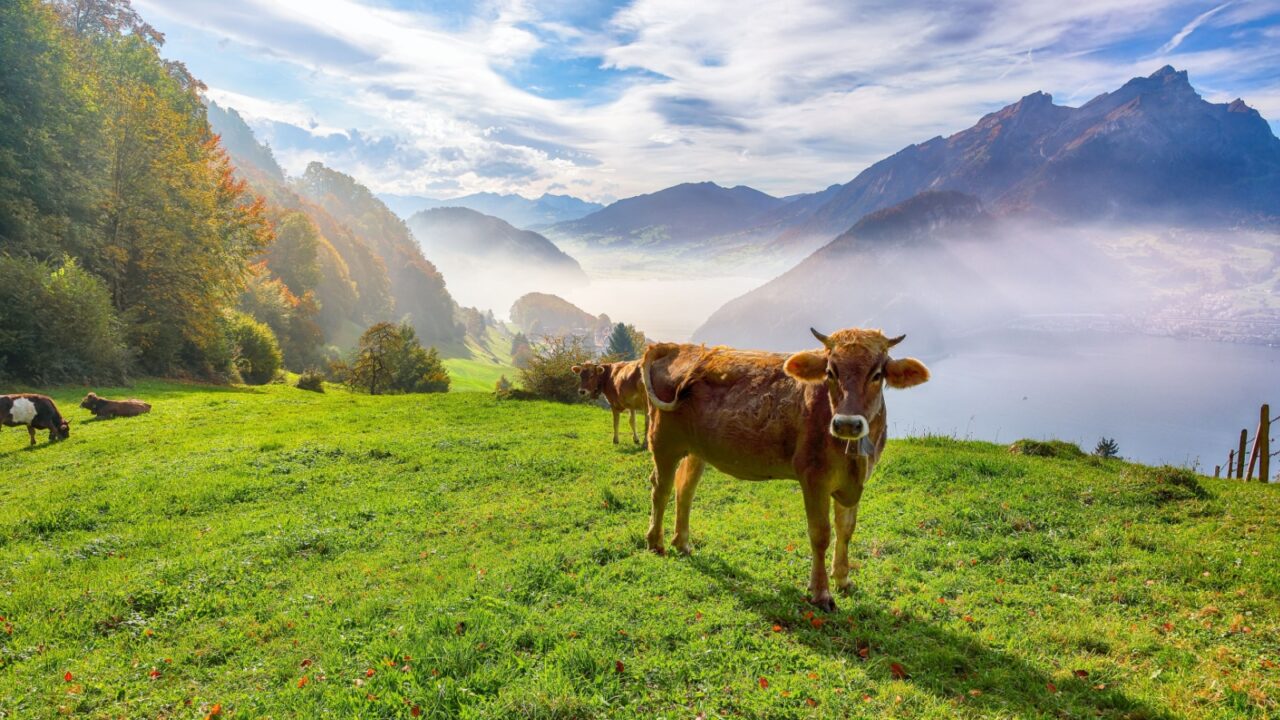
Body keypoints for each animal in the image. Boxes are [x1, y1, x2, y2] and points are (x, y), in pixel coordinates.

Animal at [640, 328, 929, 611]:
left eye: (877, 374)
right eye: (830, 372)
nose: (847, 424)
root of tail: (674, 346)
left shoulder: (854, 482)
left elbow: (846, 529)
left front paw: (843, 579)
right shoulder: (814, 478)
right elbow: (821, 534)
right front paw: (821, 593)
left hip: (696, 450)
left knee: (685, 490)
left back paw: (682, 543)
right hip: (663, 441)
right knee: (660, 489)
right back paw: (656, 543)